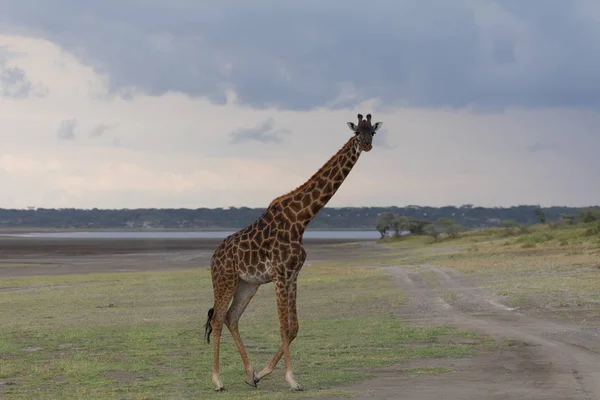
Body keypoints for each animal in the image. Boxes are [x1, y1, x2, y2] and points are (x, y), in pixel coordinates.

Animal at [205, 111, 384, 390]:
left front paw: (262, 373)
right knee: (216, 319)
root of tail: (214, 257)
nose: (366, 145)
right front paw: (292, 380)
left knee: (231, 317)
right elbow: (282, 327)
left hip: (247, 284)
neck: (300, 220)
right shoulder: (280, 275)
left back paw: (249, 374)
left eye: (372, 132)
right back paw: (217, 380)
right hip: (225, 280)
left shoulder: (293, 275)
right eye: (357, 132)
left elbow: (294, 328)